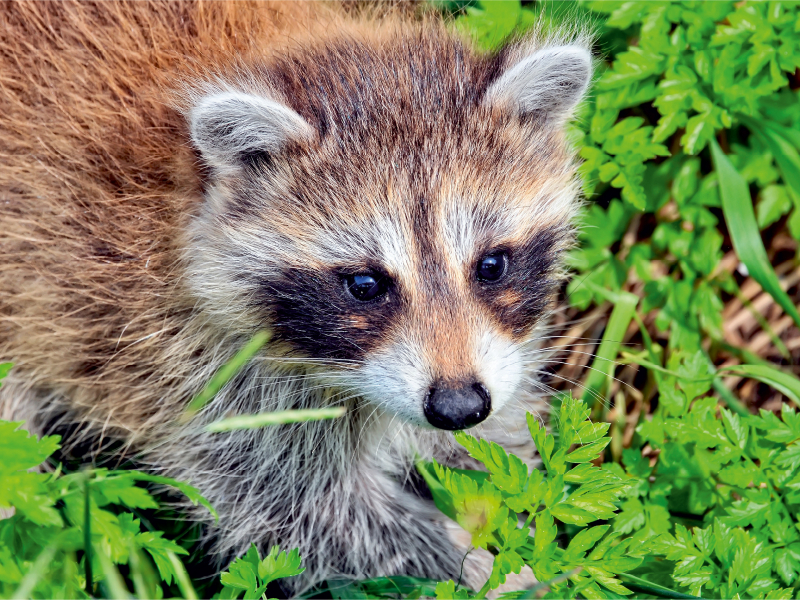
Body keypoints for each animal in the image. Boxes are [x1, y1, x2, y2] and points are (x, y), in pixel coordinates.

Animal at [0, 1, 588, 596]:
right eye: (365, 285)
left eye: (491, 266)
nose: (458, 407)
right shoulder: (181, 366)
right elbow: (316, 518)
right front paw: (496, 573)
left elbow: (493, 442)